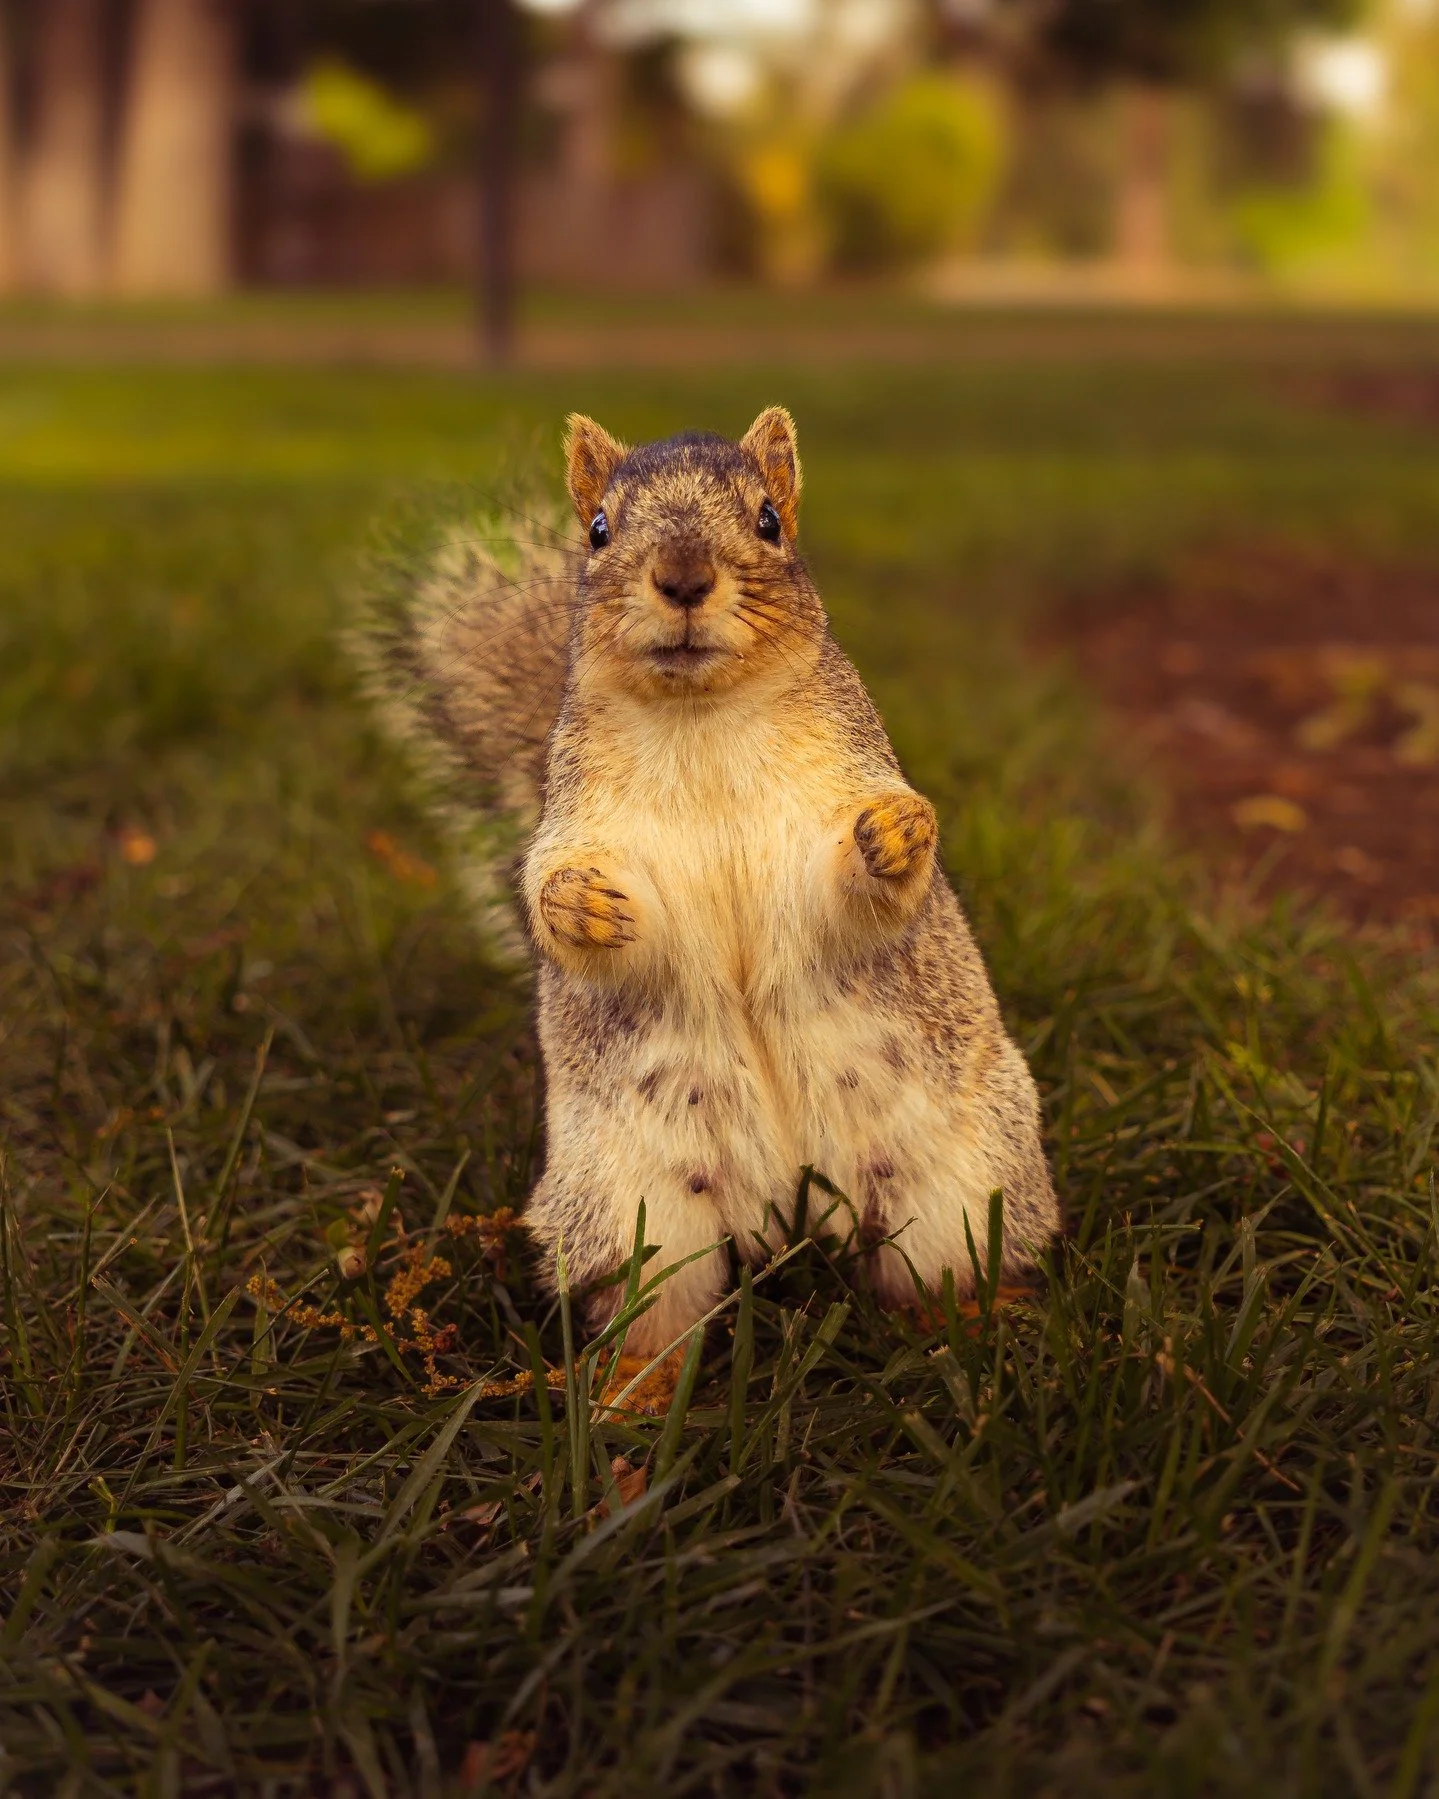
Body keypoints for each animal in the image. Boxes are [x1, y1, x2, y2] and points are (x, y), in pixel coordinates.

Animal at [356, 407, 1058, 1409]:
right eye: (597, 529)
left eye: (769, 521)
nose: (683, 577)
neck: (702, 719)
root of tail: (793, 1198)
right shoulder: (581, 817)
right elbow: (566, 893)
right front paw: (578, 905)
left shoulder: (829, 792)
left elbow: (849, 891)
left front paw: (893, 836)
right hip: (632, 1209)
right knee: (659, 1310)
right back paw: (630, 1396)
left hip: (963, 1182)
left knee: (935, 1271)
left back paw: (981, 1319)